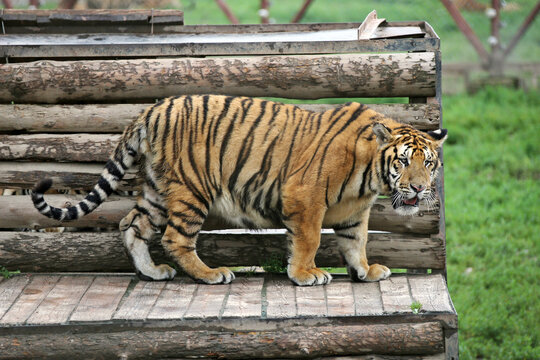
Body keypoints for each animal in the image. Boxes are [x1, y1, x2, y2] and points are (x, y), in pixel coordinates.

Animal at [32, 95, 448, 286]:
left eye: (429, 163)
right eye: (403, 161)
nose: (418, 188)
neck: (370, 175)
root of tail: (152, 109)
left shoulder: (353, 211)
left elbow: (355, 241)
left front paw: (365, 271)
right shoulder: (305, 197)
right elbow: (310, 239)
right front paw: (305, 274)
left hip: (156, 192)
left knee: (132, 226)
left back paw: (152, 273)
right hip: (191, 191)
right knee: (175, 238)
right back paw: (211, 274)